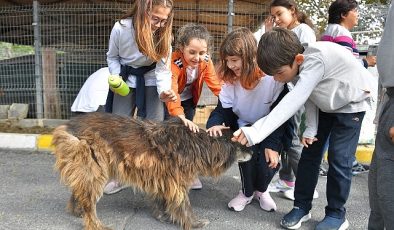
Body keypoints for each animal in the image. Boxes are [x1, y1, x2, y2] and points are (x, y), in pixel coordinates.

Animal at [51, 112, 252, 229]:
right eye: (242, 144)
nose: (253, 153)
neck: (199, 144)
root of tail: (68, 125)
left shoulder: (162, 177)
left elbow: (160, 200)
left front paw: (161, 215)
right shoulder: (176, 181)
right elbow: (183, 205)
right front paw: (194, 223)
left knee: (80, 191)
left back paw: (77, 210)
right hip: (94, 168)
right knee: (89, 201)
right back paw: (95, 223)